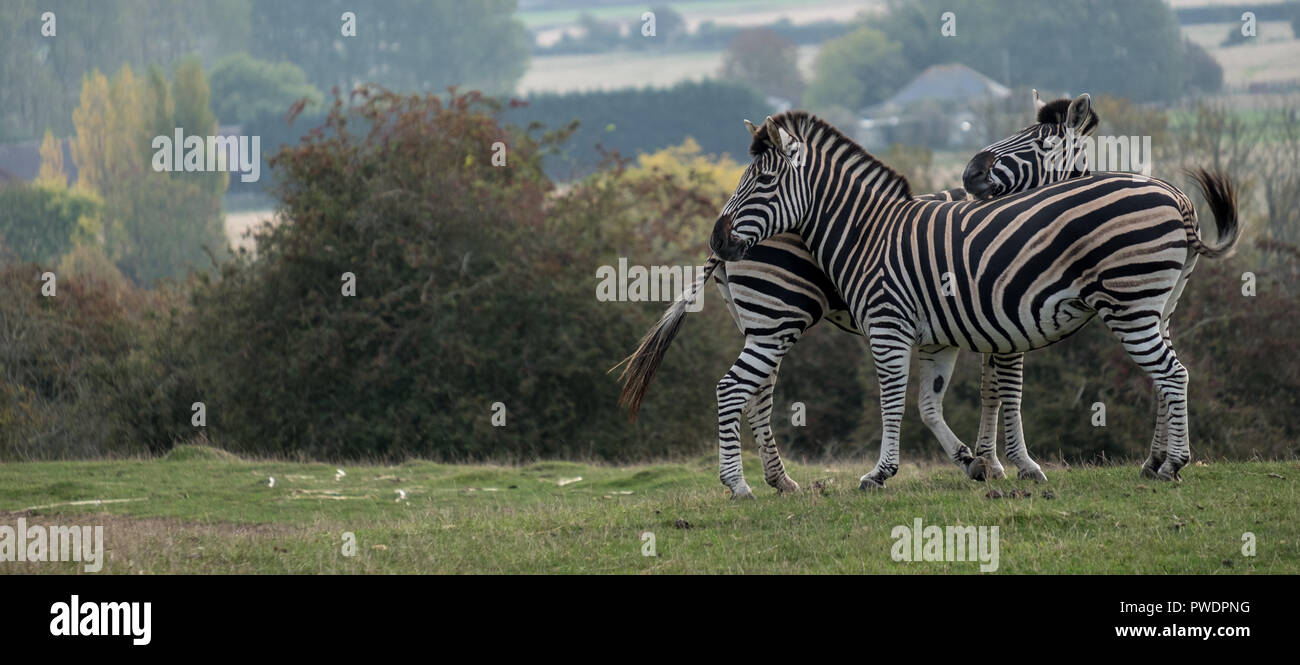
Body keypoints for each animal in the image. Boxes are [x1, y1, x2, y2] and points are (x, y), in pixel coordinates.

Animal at [616, 93, 1099, 499]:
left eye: (1039, 142)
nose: (972, 175)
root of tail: (717, 248)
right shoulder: (999, 315)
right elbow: (1004, 390)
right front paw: (1018, 464)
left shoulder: (973, 321)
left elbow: (983, 390)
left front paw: (985, 461)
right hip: (779, 315)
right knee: (743, 388)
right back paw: (745, 483)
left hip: (760, 322)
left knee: (758, 390)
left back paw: (779, 479)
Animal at [708, 111, 1238, 489]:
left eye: (764, 182)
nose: (718, 235)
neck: (867, 230)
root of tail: (1177, 198)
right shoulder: (947, 330)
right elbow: (947, 398)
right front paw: (989, 463)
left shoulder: (902, 326)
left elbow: (909, 399)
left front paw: (895, 472)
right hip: (775, 318)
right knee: (747, 389)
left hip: (1137, 306)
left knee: (1171, 374)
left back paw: (1169, 463)